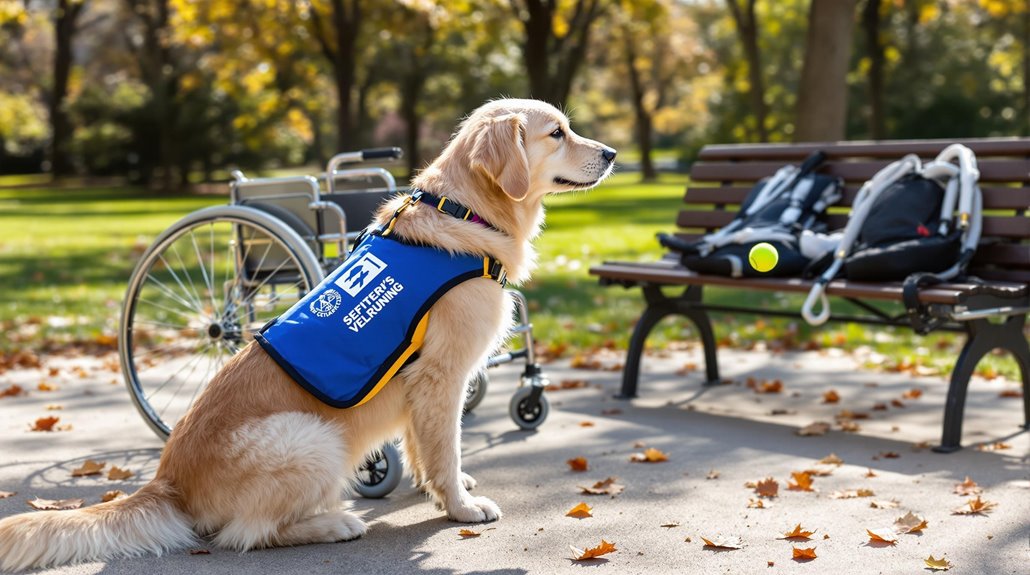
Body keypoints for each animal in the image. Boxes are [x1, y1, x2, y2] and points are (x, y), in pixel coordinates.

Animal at [0, 98, 609, 572]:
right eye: (556, 132)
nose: (612, 154)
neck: (464, 210)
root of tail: (166, 481)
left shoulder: (425, 386)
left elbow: (424, 449)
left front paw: (436, 488)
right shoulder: (443, 375)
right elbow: (444, 448)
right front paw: (459, 506)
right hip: (314, 438)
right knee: (246, 534)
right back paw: (335, 523)